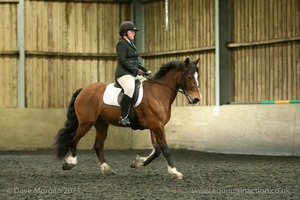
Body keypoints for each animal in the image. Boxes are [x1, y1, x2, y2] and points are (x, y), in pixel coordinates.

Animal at [54, 57, 202, 179]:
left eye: (197, 76)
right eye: (189, 77)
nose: (197, 99)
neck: (158, 93)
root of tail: (84, 90)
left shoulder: (154, 126)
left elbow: (157, 150)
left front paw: (137, 162)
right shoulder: (157, 125)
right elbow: (164, 149)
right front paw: (175, 172)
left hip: (101, 123)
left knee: (98, 145)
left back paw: (107, 169)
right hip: (86, 123)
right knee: (74, 140)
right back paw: (70, 163)